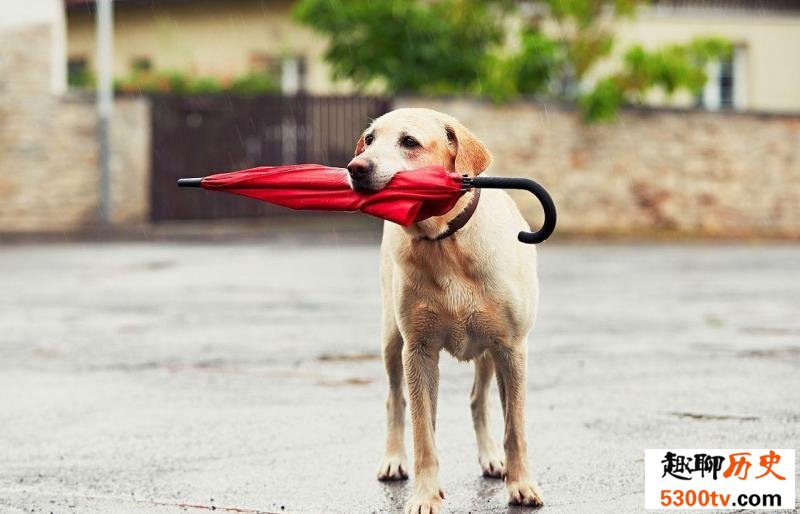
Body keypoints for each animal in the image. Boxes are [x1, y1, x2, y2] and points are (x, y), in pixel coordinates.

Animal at [346, 106, 540, 510]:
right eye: (369, 139)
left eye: (409, 142)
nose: (356, 167)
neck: (445, 242)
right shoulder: (418, 350)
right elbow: (423, 433)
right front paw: (425, 495)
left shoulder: (511, 348)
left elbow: (514, 427)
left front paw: (521, 485)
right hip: (391, 339)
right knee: (395, 400)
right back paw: (393, 458)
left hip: (488, 352)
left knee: (478, 400)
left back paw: (491, 458)